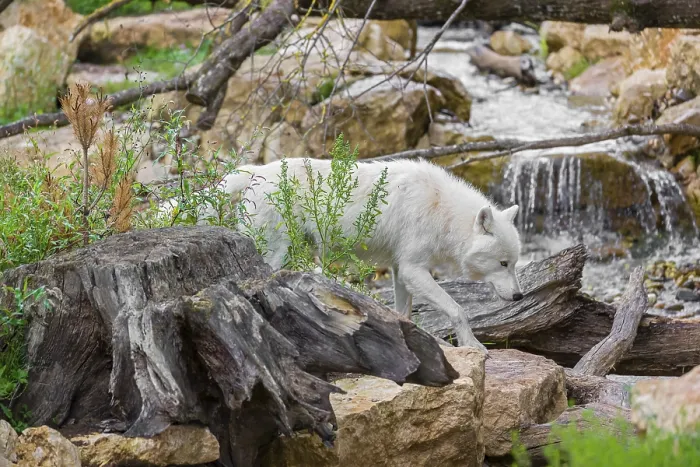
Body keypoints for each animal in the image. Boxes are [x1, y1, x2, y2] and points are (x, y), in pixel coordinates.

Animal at [209, 157, 523, 352]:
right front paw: (473, 345)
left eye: (514, 264)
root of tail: (255, 170)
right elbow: (457, 309)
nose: (519, 296)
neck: (442, 211)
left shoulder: (400, 270)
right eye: (503, 263)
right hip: (278, 252)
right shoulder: (413, 269)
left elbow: (404, 312)